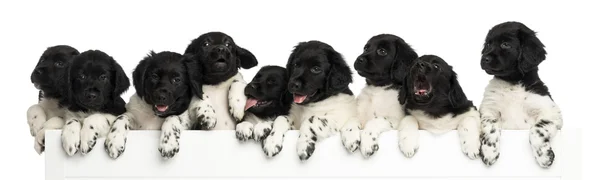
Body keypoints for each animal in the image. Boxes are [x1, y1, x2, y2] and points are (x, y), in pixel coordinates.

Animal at [478, 21, 564, 168]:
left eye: (505, 44)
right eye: (488, 44)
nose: (484, 59)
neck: (513, 84)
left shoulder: (550, 112)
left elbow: (536, 130)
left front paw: (544, 156)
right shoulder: (488, 110)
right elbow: (490, 127)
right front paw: (489, 152)